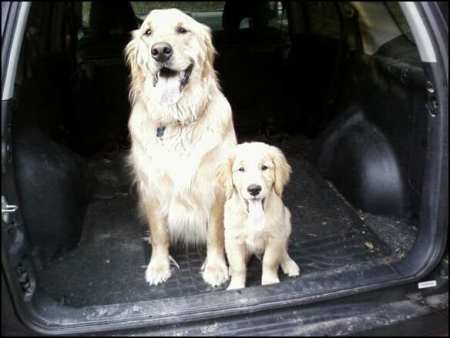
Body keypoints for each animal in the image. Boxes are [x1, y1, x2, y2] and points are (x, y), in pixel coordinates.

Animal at [123, 8, 236, 286]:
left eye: (182, 30)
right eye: (148, 32)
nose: (160, 51)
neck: (177, 121)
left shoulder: (216, 189)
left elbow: (215, 233)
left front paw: (215, 268)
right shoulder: (151, 188)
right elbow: (159, 233)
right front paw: (159, 266)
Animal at [220, 141, 300, 290]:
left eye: (264, 167)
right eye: (241, 169)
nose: (254, 189)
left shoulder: (275, 237)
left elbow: (270, 261)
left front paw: (269, 281)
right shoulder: (233, 239)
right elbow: (238, 266)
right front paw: (236, 286)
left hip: (286, 220)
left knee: (283, 250)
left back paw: (289, 264)